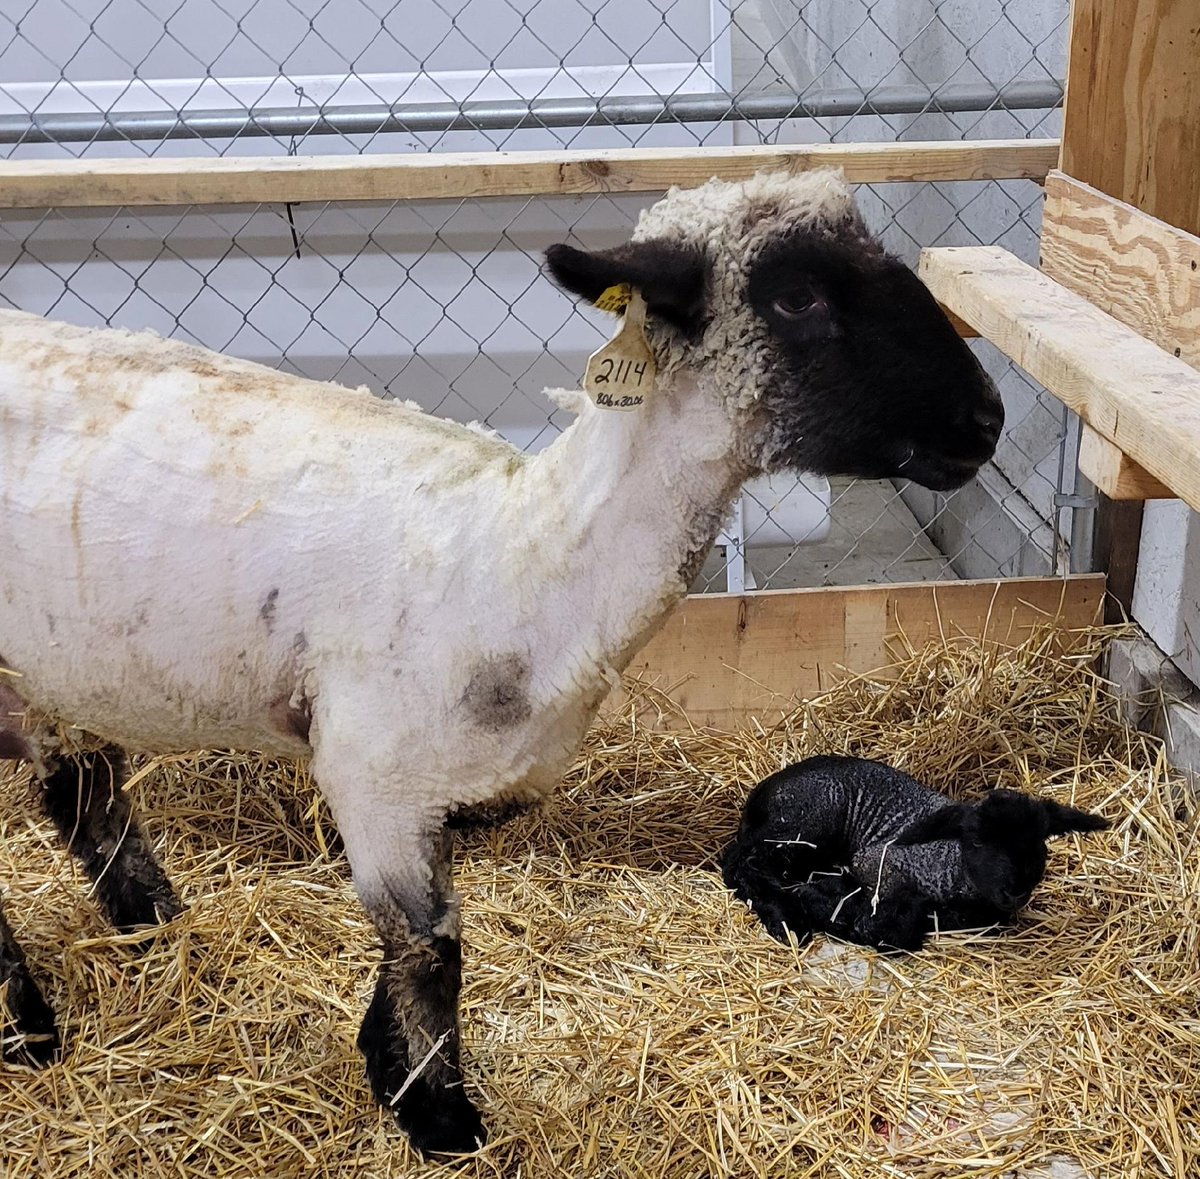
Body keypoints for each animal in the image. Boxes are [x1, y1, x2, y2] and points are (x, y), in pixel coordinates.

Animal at [0, 167, 1004, 1154]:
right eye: (797, 297)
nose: (988, 420)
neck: (518, 558)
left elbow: (420, 947)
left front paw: (388, 1064)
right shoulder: (374, 780)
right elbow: (431, 951)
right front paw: (440, 1117)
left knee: (84, 796)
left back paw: (148, 933)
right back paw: (32, 1029)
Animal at [721, 755, 1110, 953]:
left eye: (1039, 842)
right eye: (977, 841)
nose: (1017, 889)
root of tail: (759, 795)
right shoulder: (872, 861)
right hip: (806, 824)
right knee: (741, 863)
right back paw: (788, 922)